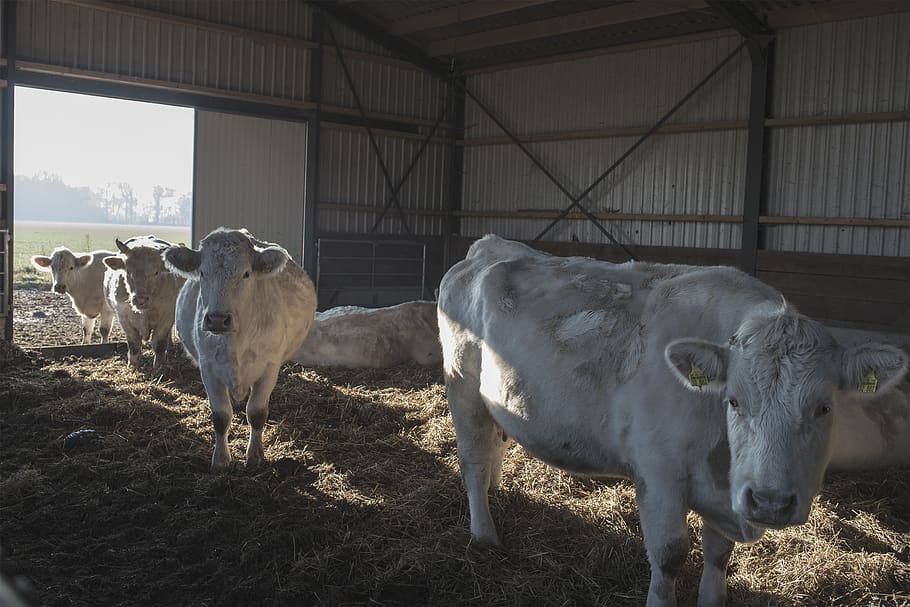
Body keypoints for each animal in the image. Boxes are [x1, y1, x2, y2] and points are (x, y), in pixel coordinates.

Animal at [103, 236, 185, 367]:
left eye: (156, 272)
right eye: (128, 272)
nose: (140, 300)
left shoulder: (166, 317)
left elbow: (159, 343)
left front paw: (159, 366)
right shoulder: (124, 318)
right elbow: (134, 344)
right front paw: (133, 365)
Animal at [163, 228, 317, 471]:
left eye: (246, 273)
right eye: (203, 273)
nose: (217, 319)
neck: (236, 340)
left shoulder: (269, 368)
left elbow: (256, 413)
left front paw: (255, 456)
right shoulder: (208, 368)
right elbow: (220, 416)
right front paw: (220, 460)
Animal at [436, 235, 908, 607]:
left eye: (824, 407)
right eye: (734, 401)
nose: (770, 503)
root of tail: (489, 245)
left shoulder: (725, 495)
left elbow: (718, 556)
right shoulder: (658, 474)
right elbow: (669, 557)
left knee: (494, 445)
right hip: (462, 386)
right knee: (472, 460)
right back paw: (485, 534)